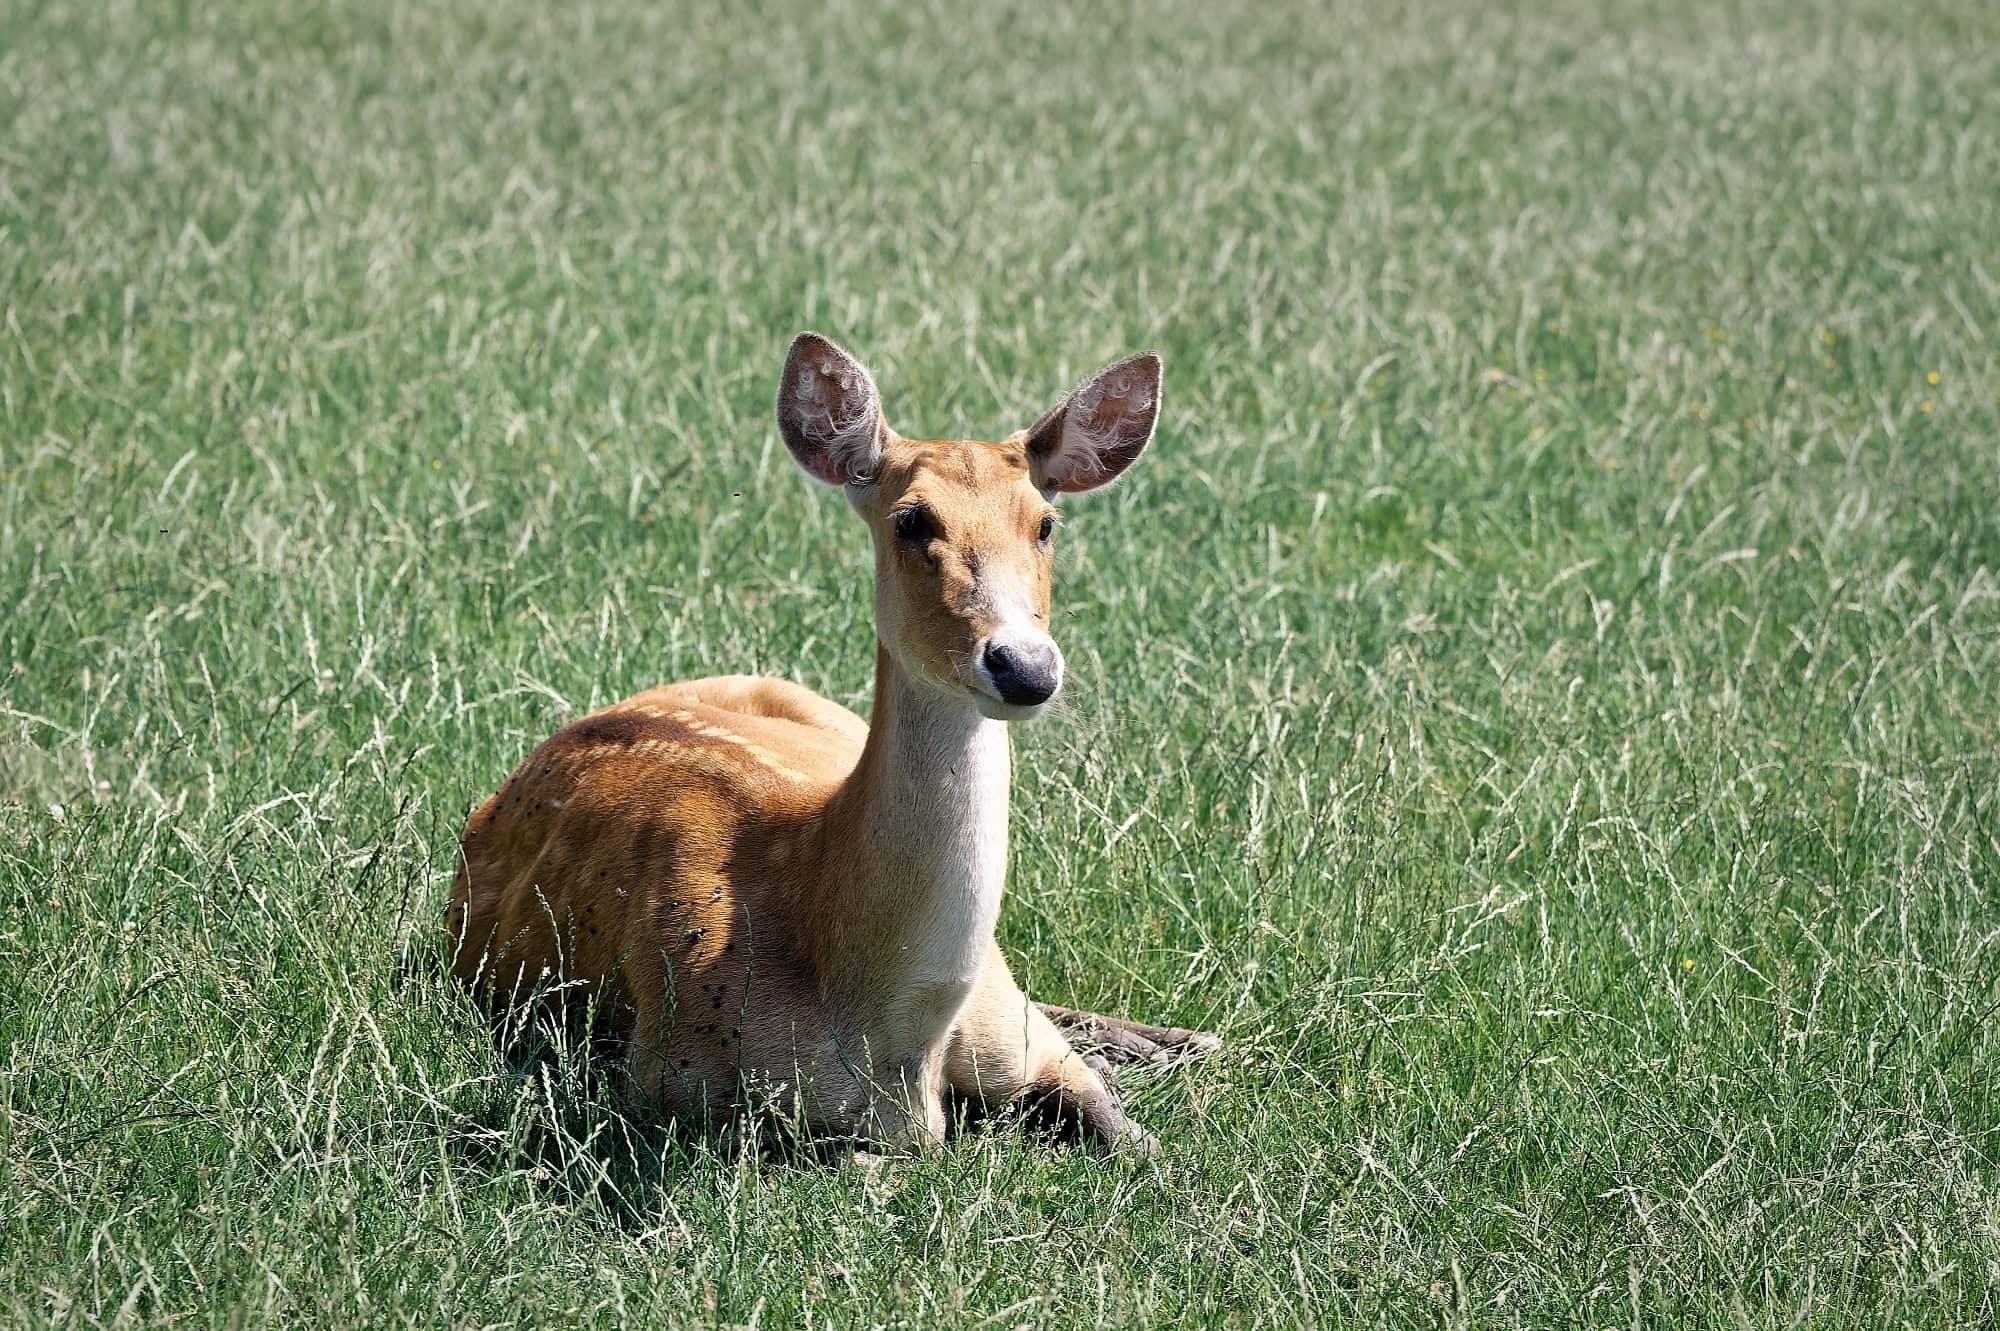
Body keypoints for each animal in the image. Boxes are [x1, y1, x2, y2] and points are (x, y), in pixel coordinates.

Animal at [445, 333, 1212, 1156]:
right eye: (912, 520)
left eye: (1045, 522)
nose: (1024, 664)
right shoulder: (669, 1081)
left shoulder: (1022, 1039)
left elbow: (1139, 1145)